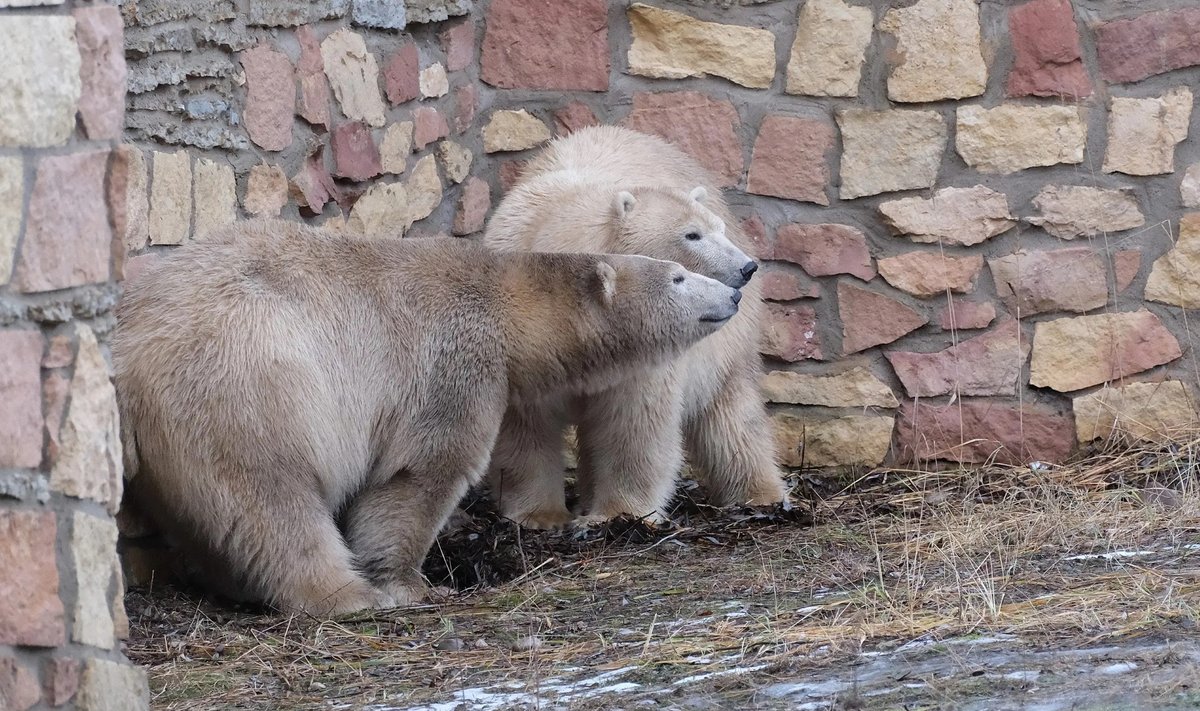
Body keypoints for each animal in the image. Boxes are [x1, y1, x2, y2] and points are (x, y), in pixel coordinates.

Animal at [114, 219, 748, 614]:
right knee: (272, 499)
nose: (736, 293)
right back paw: (344, 595)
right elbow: (418, 474)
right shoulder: (450, 360)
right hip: (250, 388)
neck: (504, 300)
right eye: (679, 276)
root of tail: (130, 351)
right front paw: (409, 585)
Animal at [477, 123, 787, 528]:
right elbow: (528, 423)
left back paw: (759, 495)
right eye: (692, 235)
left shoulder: (643, 347)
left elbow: (633, 424)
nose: (747, 266)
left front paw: (616, 514)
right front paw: (540, 515)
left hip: (729, 341)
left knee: (731, 409)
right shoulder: (528, 334)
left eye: (715, 229)